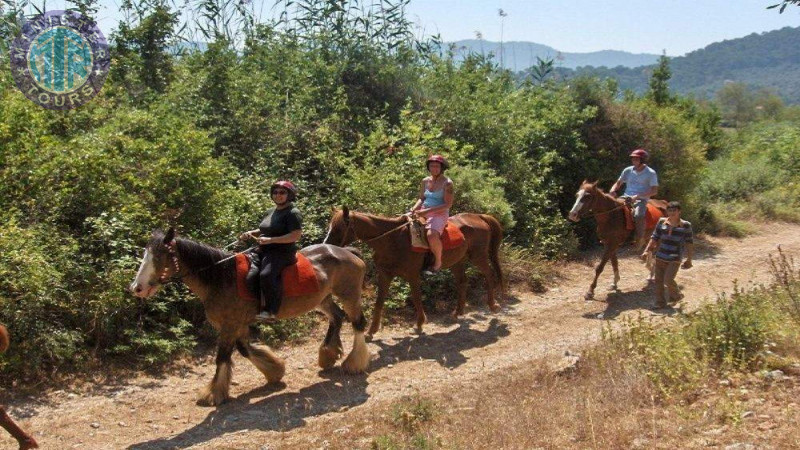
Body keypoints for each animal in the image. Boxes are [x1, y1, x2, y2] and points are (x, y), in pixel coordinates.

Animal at [130, 227, 370, 406]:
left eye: (159, 256)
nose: (137, 288)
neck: (220, 277)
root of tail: (349, 252)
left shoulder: (230, 325)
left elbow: (222, 356)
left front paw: (213, 393)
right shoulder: (236, 324)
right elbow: (244, 349)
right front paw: (274, 371)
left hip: (349, 295)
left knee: (358, 323)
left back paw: (354, 363)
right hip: (322, 299)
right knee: (337, 317)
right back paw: (328, 354)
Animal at [322, 209, 504, 336]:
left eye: (338, 228)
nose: (326, 245)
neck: (392, 239)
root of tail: (478, 217)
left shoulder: (412, 274)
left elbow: (416, 297)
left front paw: (420, 323)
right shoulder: (385, 275)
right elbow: (379, 301)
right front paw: (372, 331)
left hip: (478, 256)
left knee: (489, 274)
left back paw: (493, 305)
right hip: (457, 261)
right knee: (462, 282)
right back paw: (458, 312)